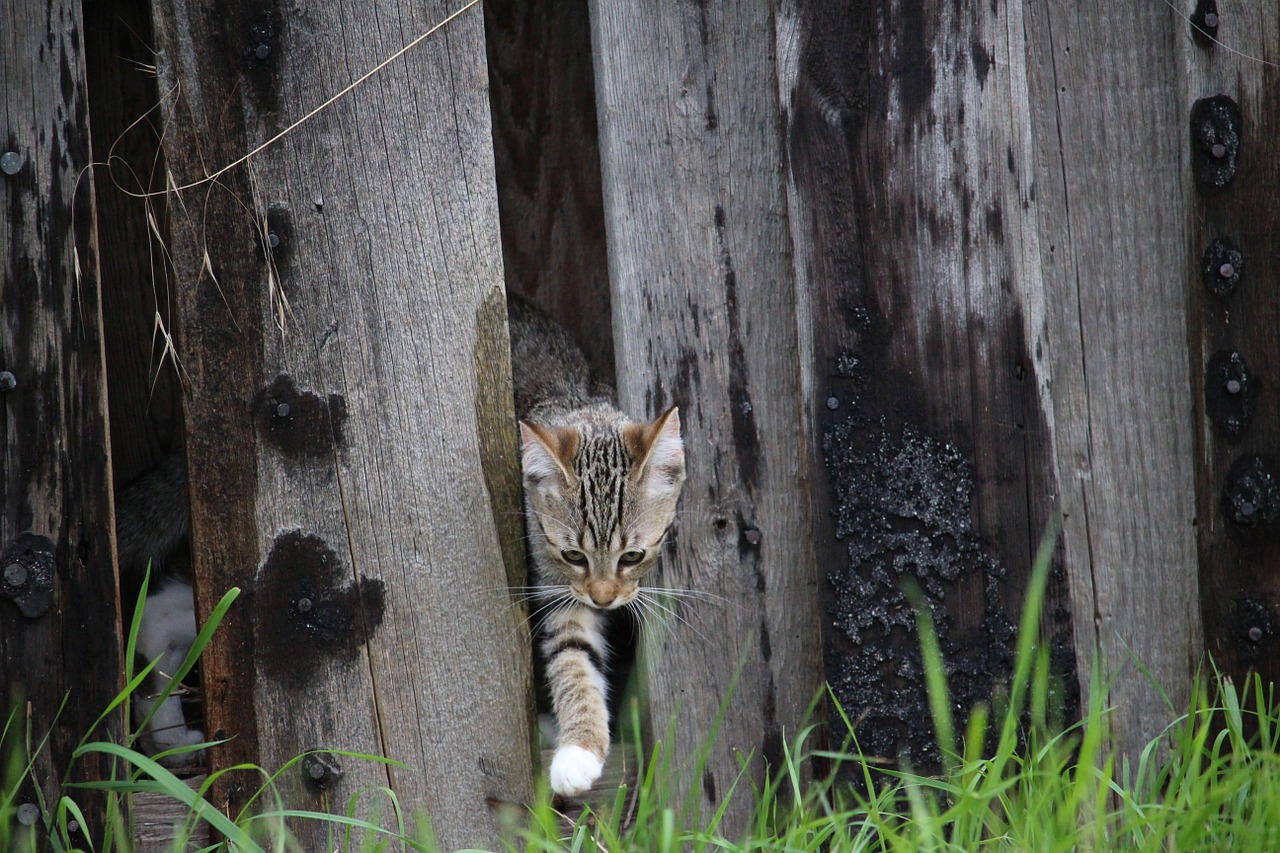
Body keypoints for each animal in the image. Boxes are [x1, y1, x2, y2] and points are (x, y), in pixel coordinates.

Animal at [504, 295, 686, 794]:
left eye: (632, 556)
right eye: (573, 555)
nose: (603, 599)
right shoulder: (555, 589)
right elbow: (572, 657)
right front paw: (578, 750)